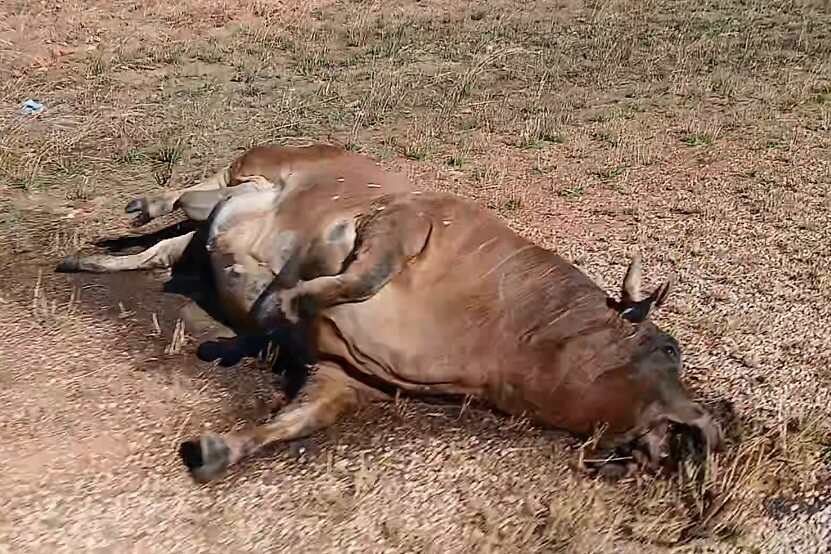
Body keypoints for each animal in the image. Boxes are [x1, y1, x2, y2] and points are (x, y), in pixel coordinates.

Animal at [175, 186, 723, 484]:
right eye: (670, 348)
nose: (715, 430)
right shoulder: (404, 221)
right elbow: (359, 278)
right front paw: (279, 304)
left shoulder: (345, 377)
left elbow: (301, 417)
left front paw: (218, 451)